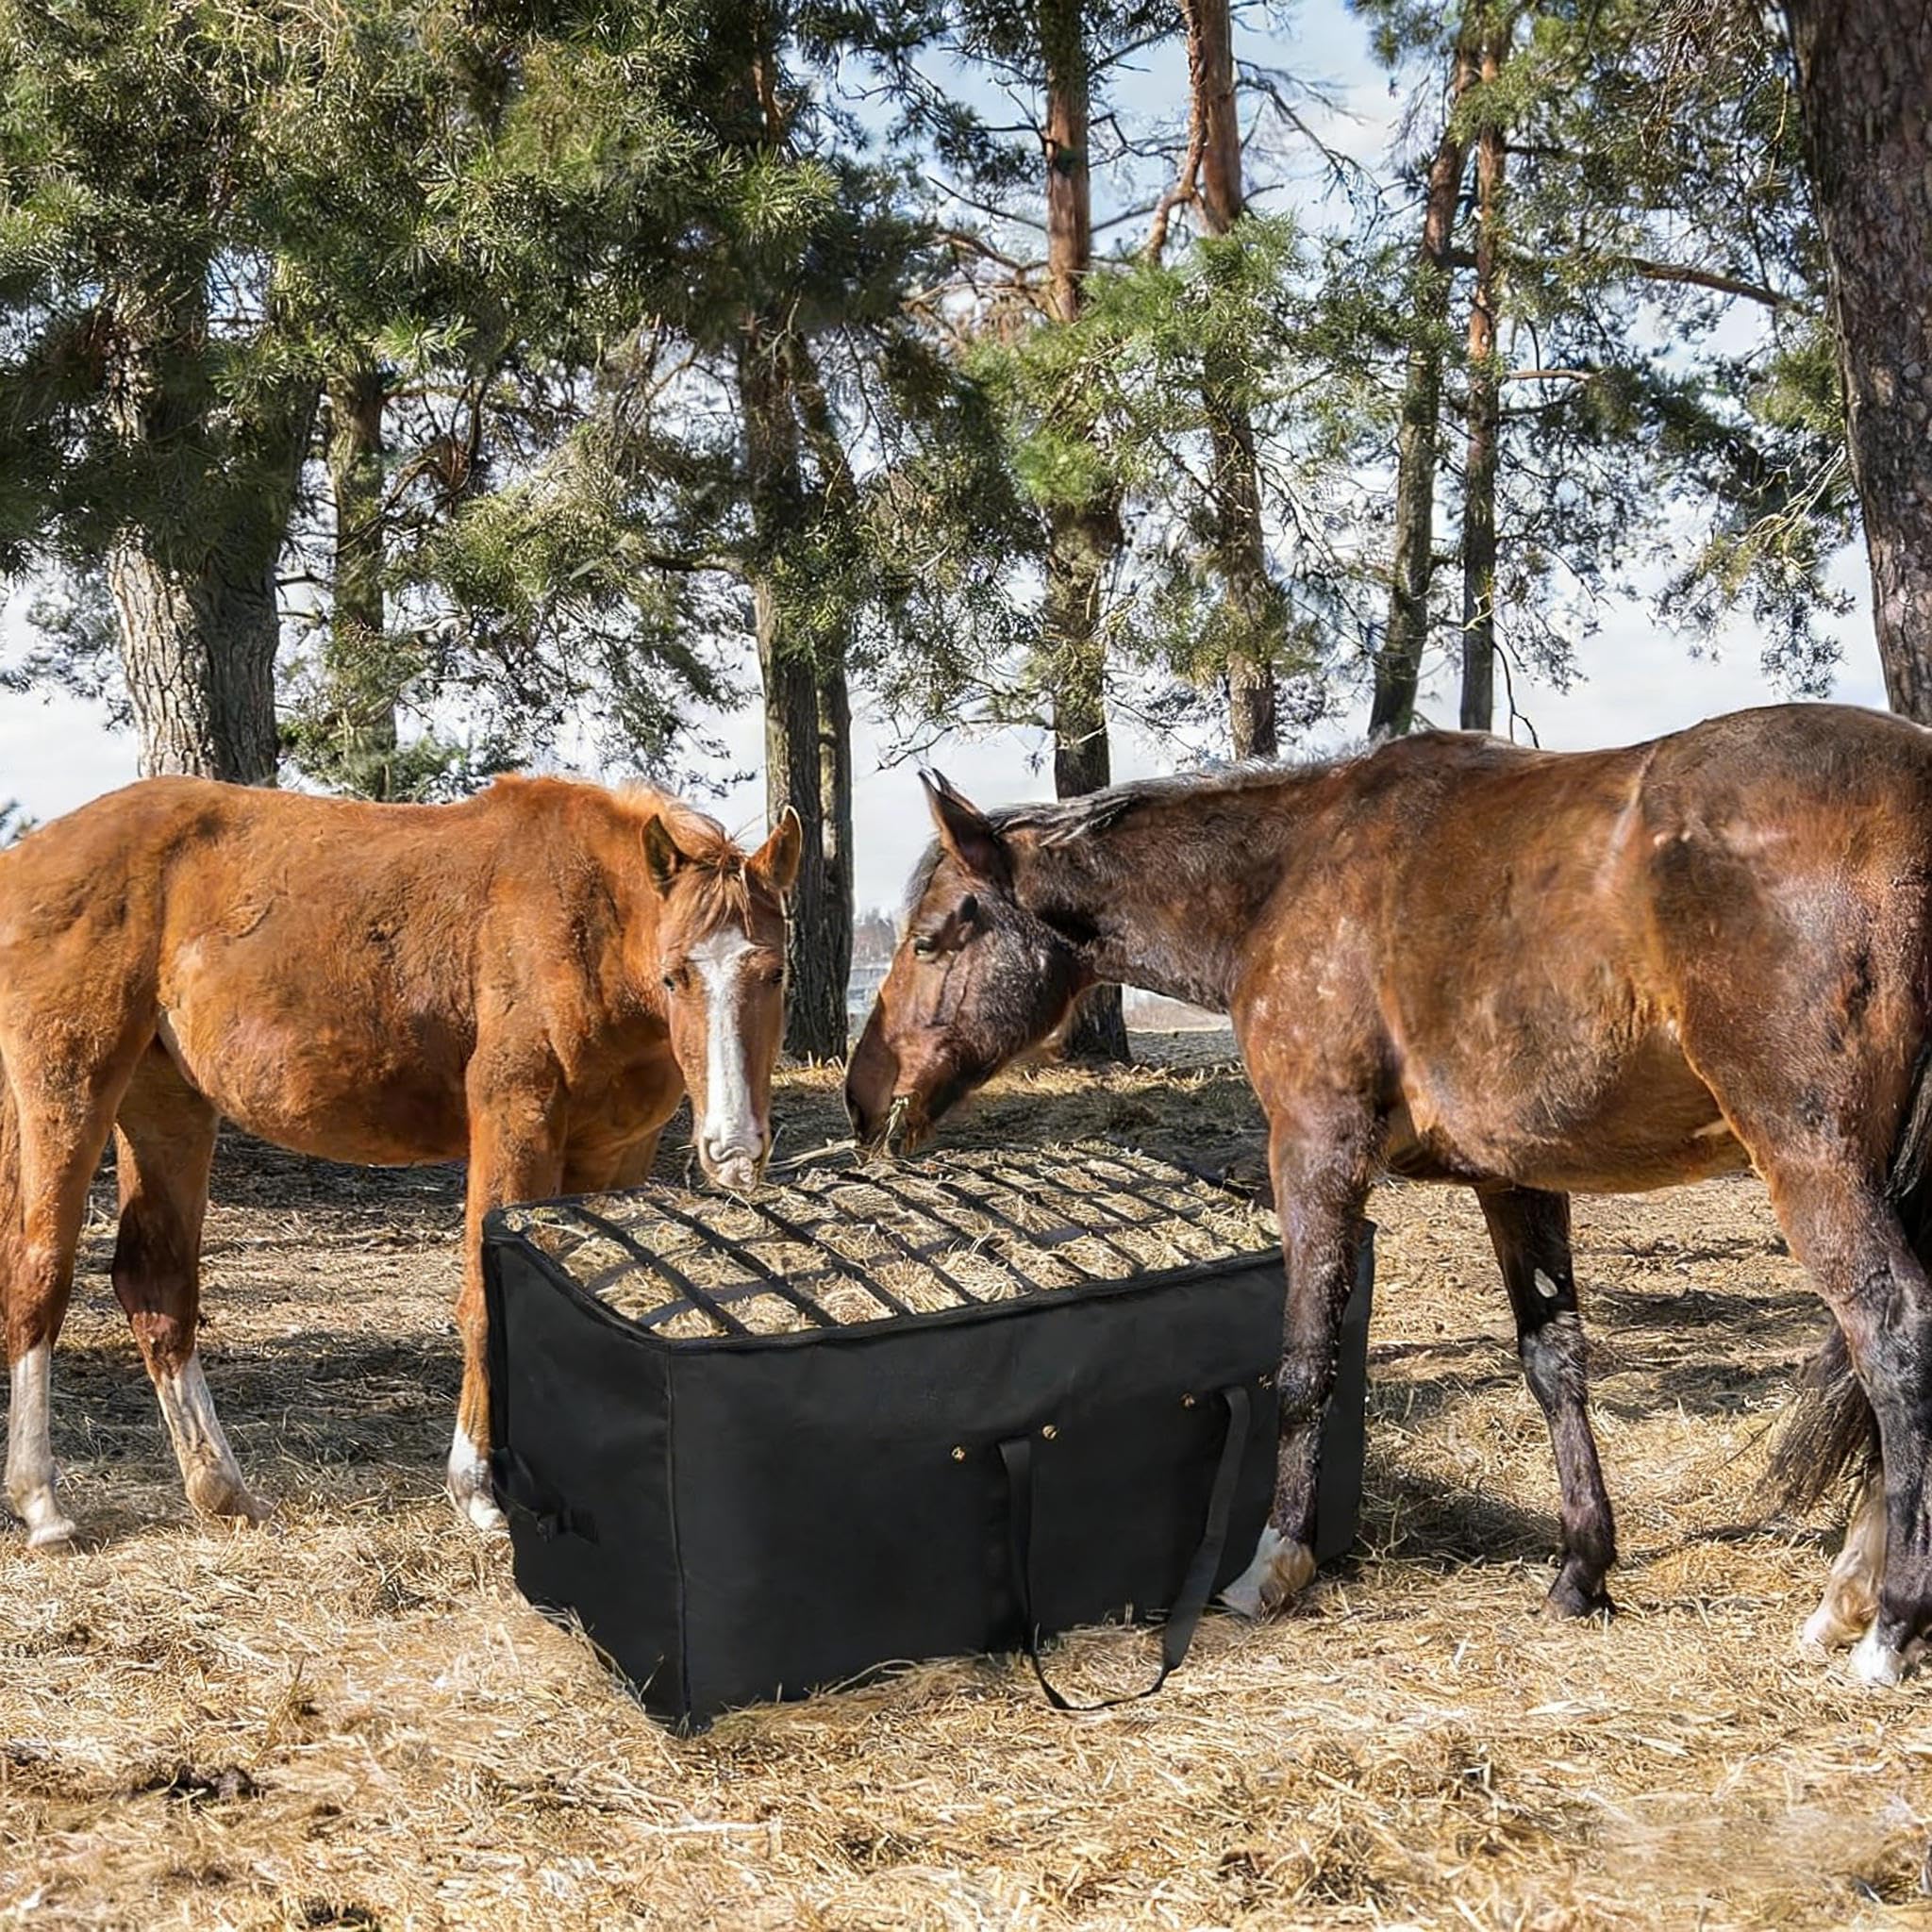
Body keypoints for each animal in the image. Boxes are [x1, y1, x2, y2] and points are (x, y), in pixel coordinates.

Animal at [0, 774, 799, 1547]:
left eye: (776, 973)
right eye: (675, 976)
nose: (733, 1147)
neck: (584, 924)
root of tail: (23, 862)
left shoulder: (612, 1155)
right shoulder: (516, 1120)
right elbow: (484, 1301)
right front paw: (478, 1494)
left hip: (166, 1104)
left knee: (156, 1285)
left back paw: (226, 1495)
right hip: (68, 1088)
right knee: (40, 1271)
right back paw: (42, 1506)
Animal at [845, 704, 1932, 1685]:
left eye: (932, 938)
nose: (862, 1095)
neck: (1286, 875)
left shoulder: (1315, 1154)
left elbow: (1302, 1365)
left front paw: (1273, 1565)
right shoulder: (1515, 1181)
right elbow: (1554, 1364)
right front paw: (1580, 1572)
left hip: (1814, 1164)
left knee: (1895, 1335)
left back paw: (1885, 1623)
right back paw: (1847, 1592)